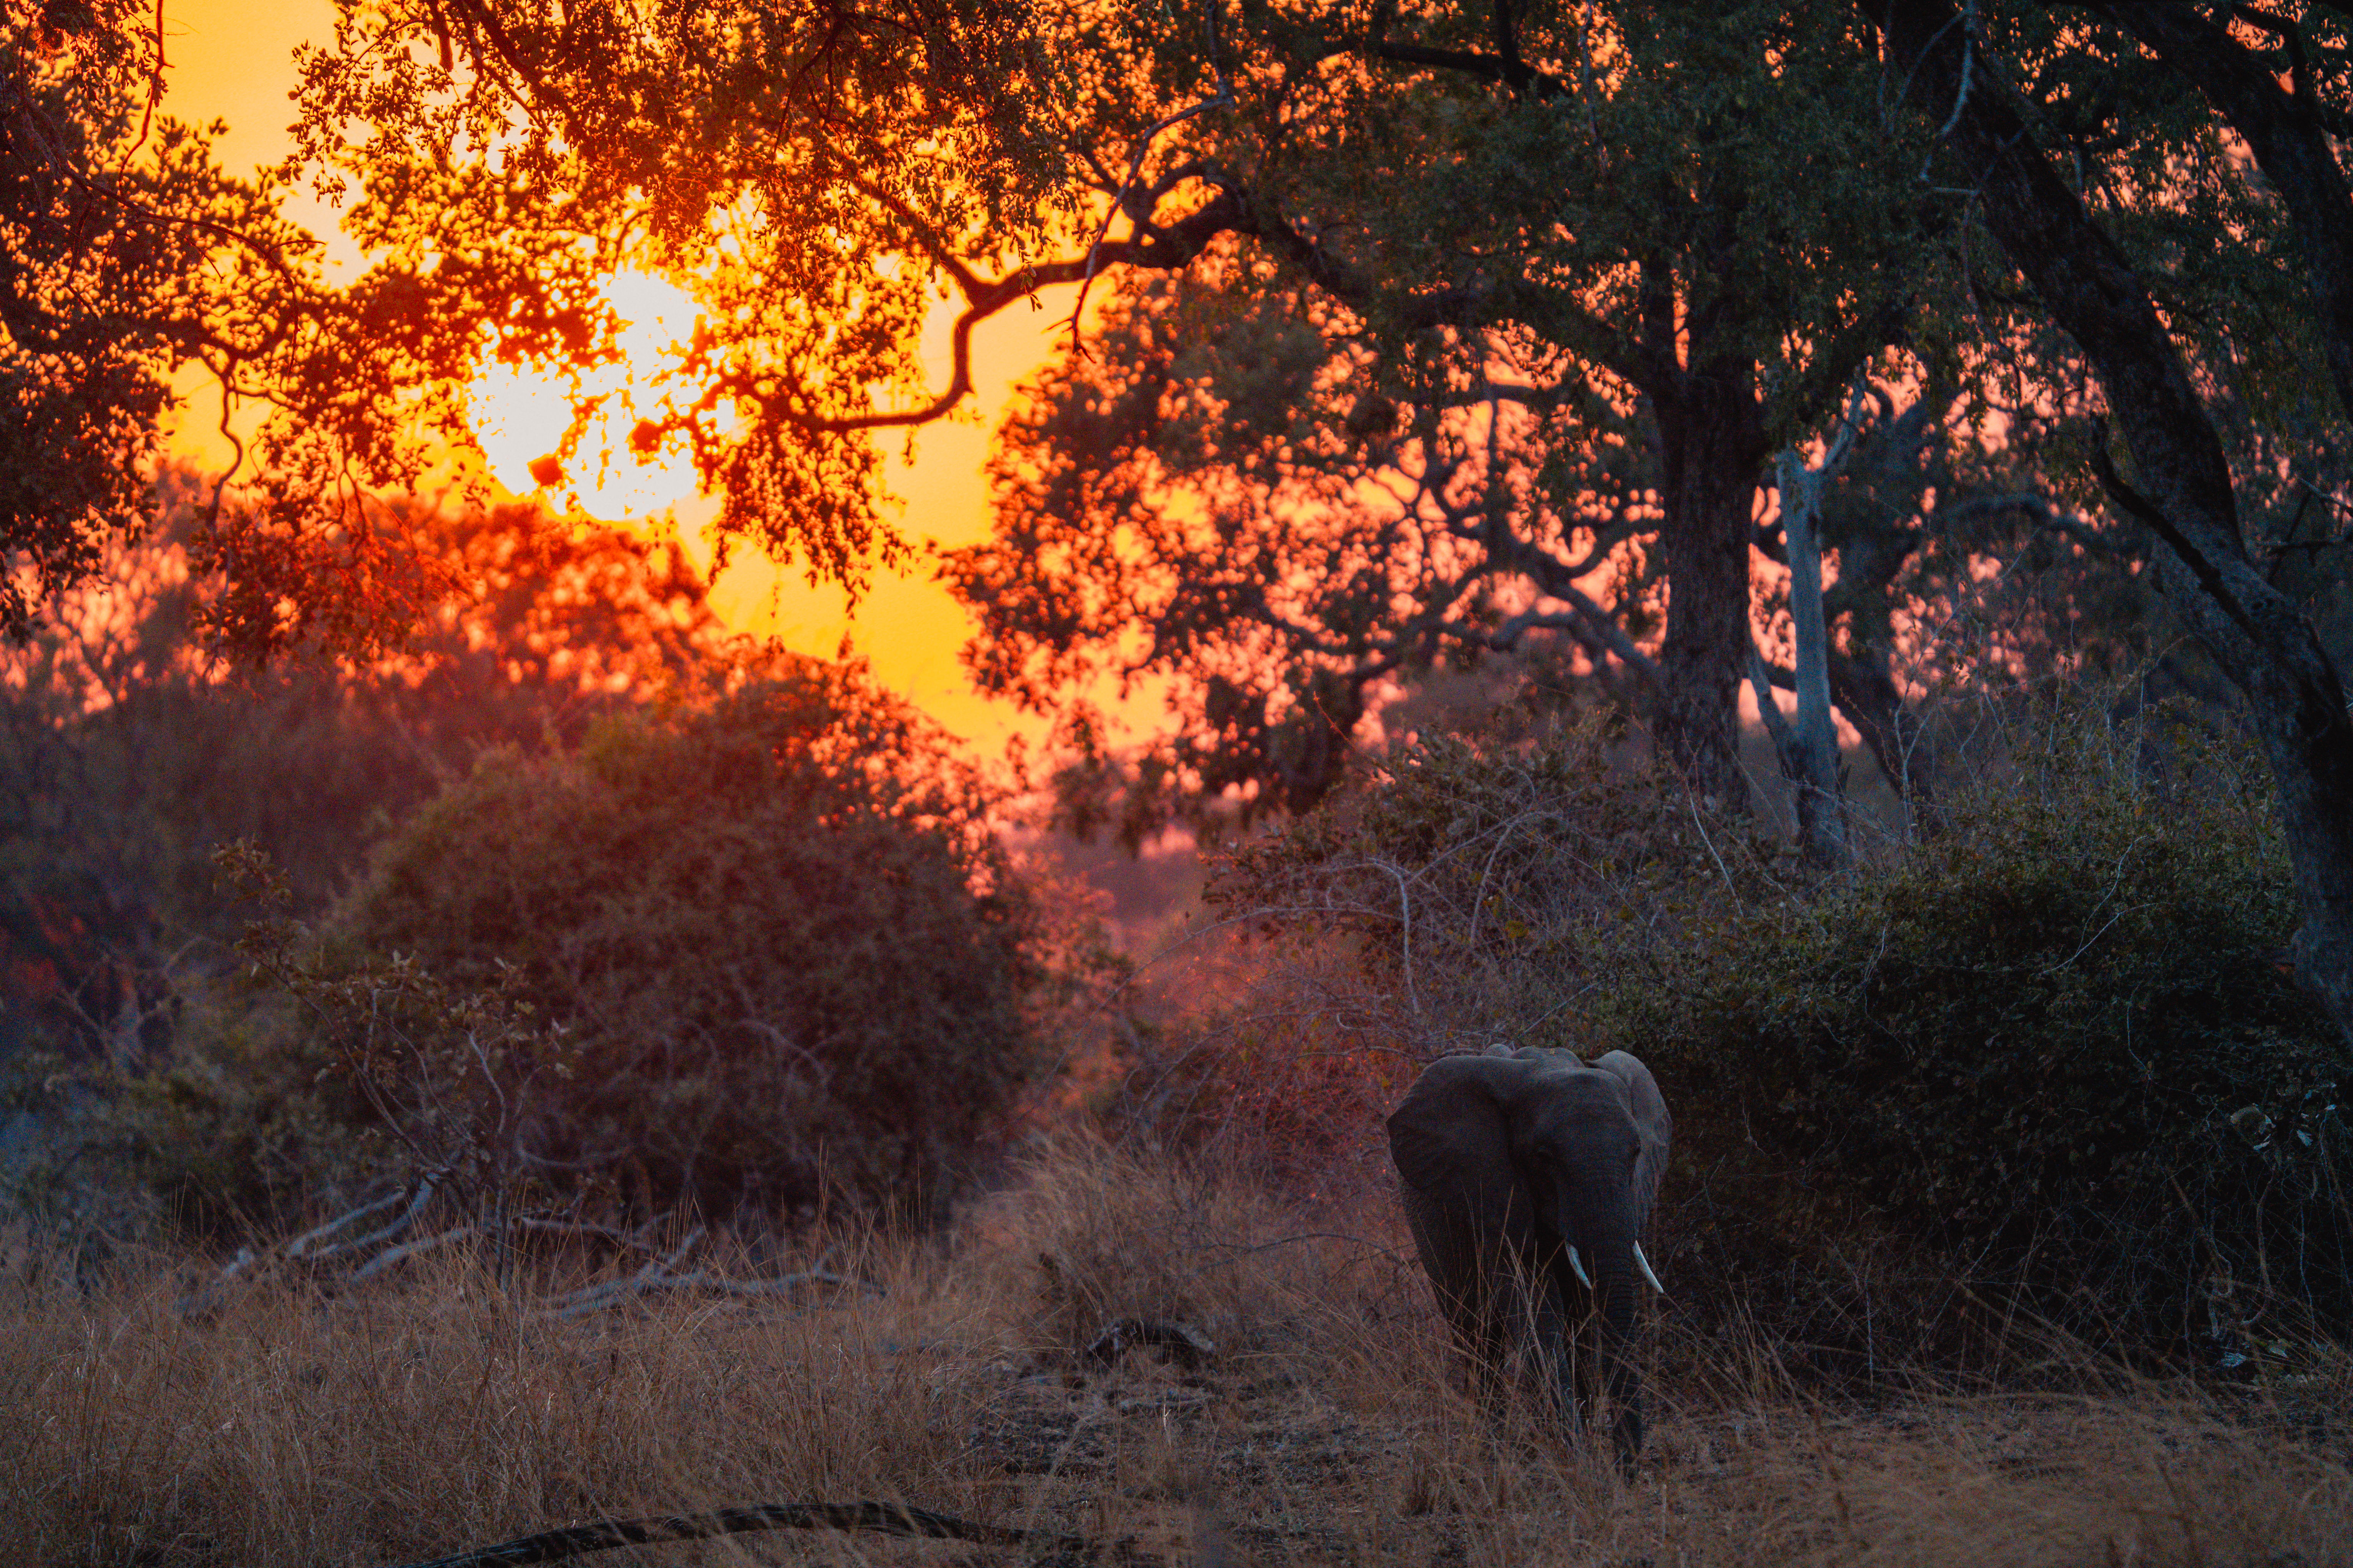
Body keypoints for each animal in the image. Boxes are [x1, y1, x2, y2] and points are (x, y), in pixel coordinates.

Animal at [1386, 1044, 1670, 1472]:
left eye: (1636, 1153)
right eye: (1544, 1157)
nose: (1628, 1471)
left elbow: (1584, 1319)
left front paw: (1581, 1447)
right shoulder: (1495, 1194)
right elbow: (1535, 1307)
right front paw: (1572, 1457)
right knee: (1477, 1336)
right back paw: (1494, 1450)